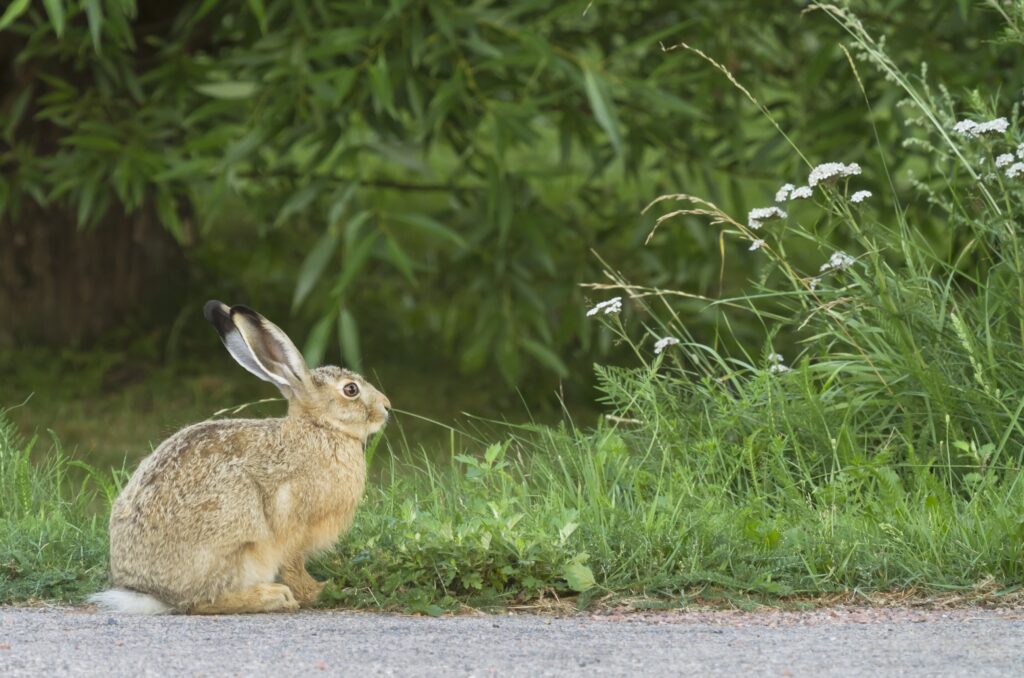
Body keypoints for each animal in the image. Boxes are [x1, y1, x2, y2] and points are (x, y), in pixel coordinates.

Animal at [88, 301, 390, 614]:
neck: (321, 428)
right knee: (201, 601)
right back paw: (272, 597)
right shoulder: (294, 522)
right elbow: (294, 566)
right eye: (351, 390)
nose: (387, 407)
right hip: (239, 537)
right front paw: (320, 591)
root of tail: (154, 593)